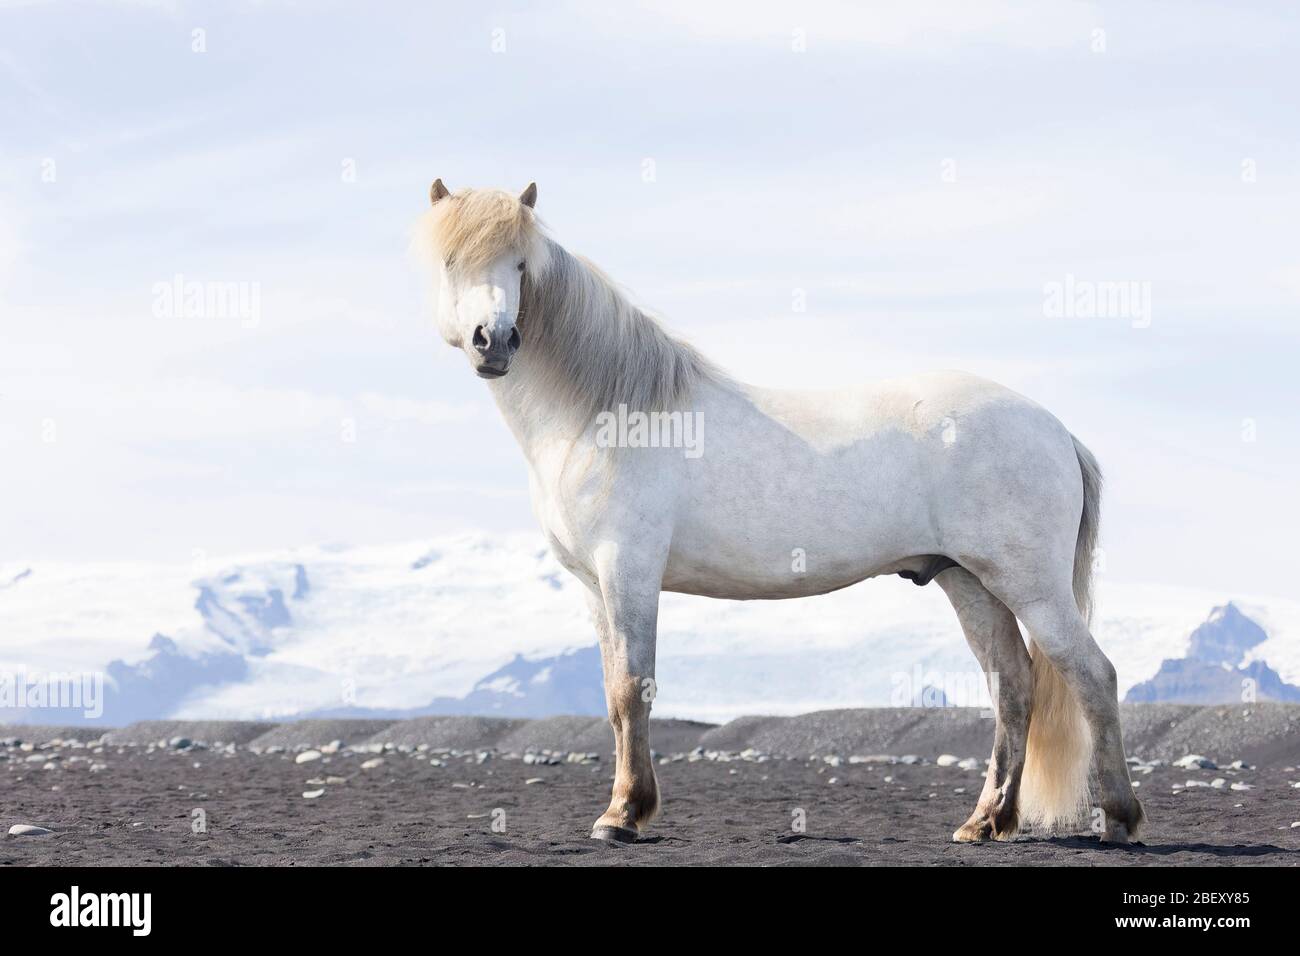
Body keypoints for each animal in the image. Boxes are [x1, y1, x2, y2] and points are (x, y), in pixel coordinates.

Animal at [416, 179, 1144, 845]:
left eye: (520, 264)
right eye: (450, 261)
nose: (494, 341)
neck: (605, 413)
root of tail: (1057, 430)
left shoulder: (629, 572)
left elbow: (631, 688)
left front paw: (622, 815)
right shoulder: (596, 587)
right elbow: (614, 695)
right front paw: (627, 807)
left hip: (1030, 584)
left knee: (1093, 676)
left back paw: (1121, 818)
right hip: (970, 581)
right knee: (1013, 687)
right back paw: (984, 821)